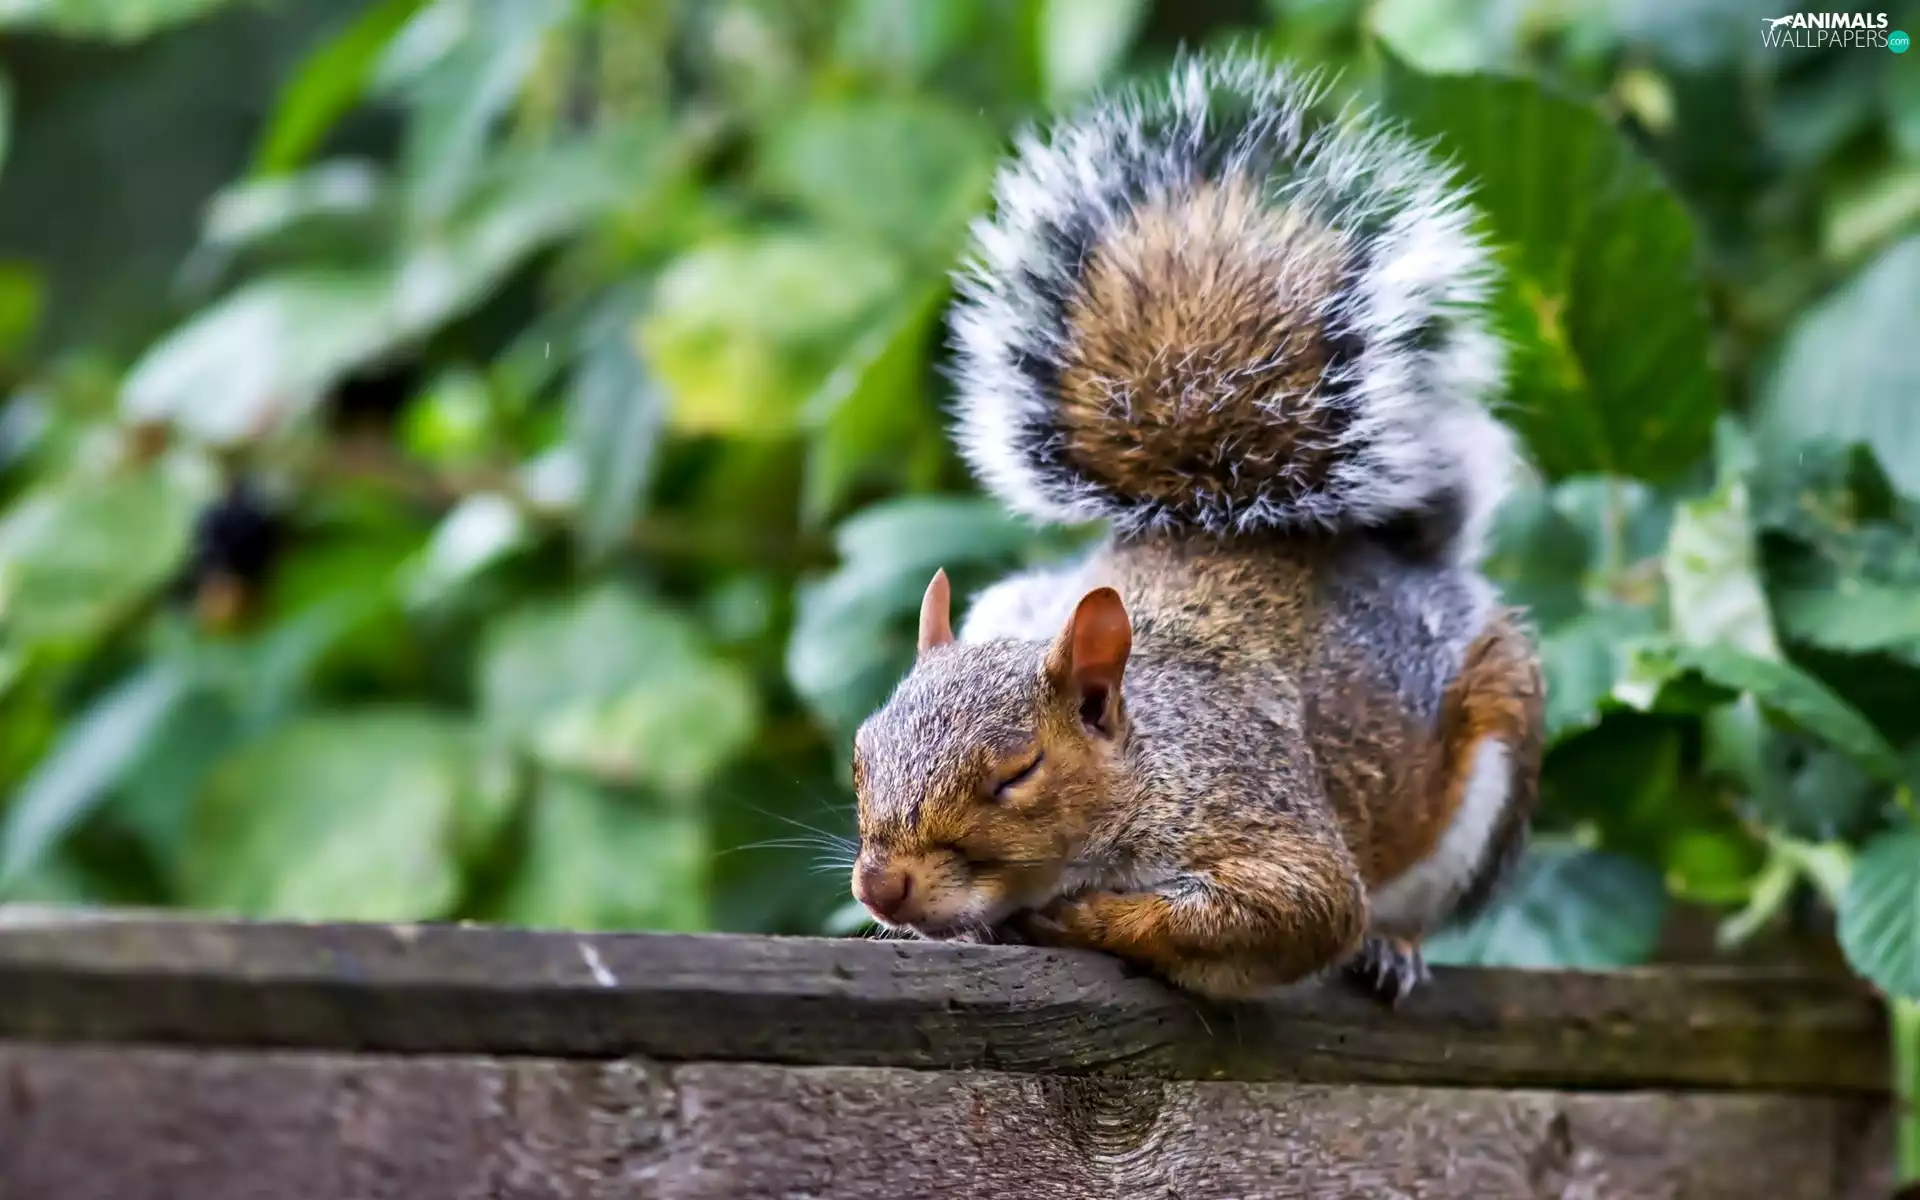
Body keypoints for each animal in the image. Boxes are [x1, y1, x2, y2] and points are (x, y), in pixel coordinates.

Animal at [846, 51, 1545, 1005]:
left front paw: (1083, 920)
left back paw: (1393, 948)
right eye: (859, 755)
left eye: (1016, 774)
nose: (881, 886)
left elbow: (1295, 911)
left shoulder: (1258, 814)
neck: (1149, 758)